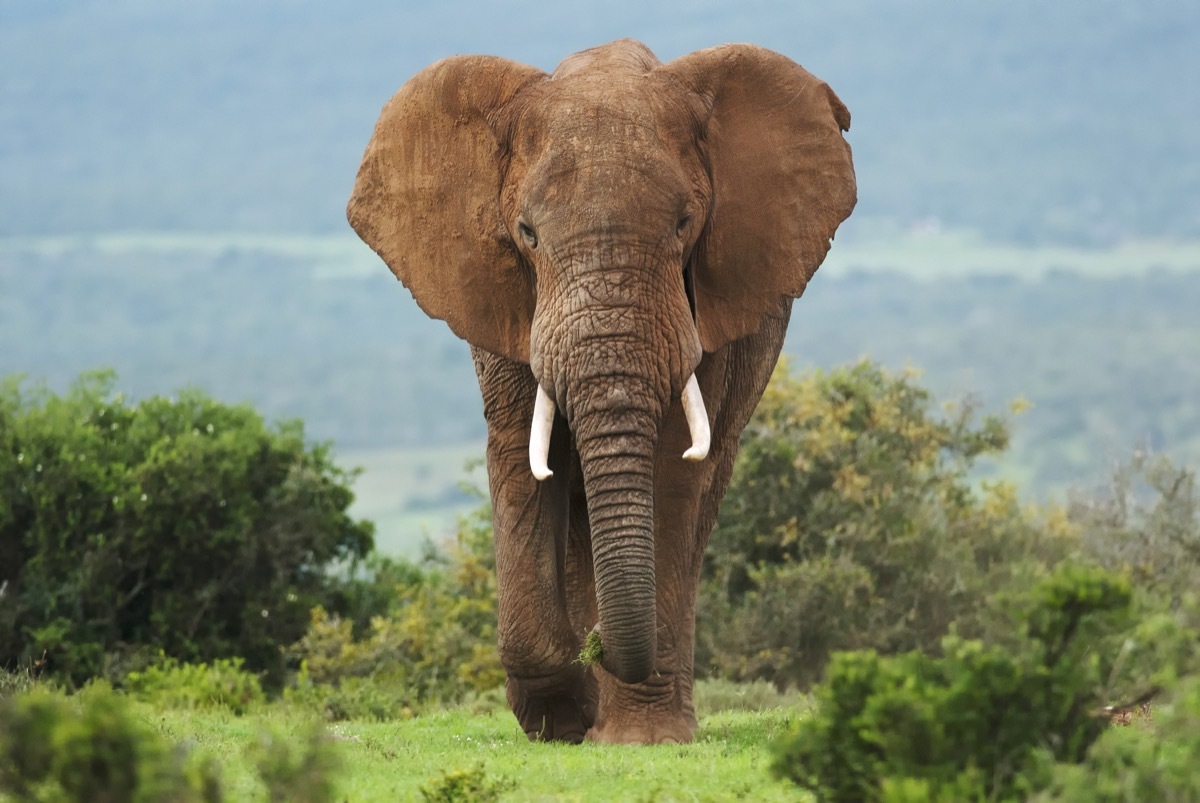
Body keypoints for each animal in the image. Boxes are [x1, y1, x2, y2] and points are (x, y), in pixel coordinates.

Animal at [347, 38, 855, 744]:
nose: (600, 650)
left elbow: (672, 466)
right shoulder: (507, 299)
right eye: (527, 233)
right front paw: (562, 719)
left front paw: (639, 737)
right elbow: (522, 452)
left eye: (684, 224)